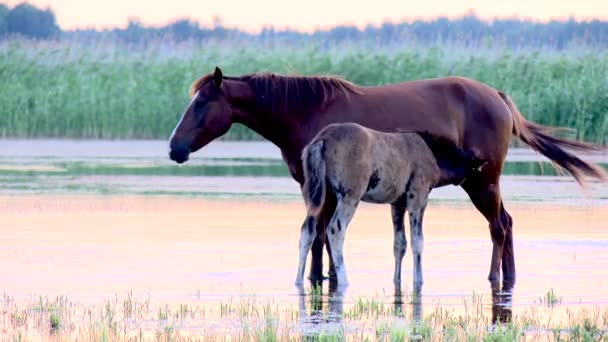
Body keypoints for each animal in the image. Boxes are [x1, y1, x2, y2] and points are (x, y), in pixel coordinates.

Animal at [294, 121, 484, 288]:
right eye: (477, 170)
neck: (431, 152)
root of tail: (322, 139)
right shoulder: (418, 198)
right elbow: (417, 242)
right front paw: (419, 281)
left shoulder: (397, 205)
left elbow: (399, 244)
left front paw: (396, 280)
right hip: (350, 196)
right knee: (335, 230)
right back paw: (344, 281)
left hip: (320, 196)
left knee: (307, 230)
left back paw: (298, 280)